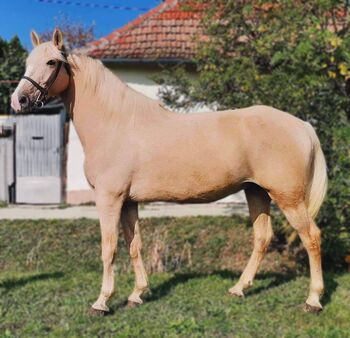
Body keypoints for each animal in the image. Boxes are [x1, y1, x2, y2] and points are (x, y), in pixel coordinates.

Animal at [11, 28, 328, 314]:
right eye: (28, 62)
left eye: (52, 62)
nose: (19, 101)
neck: (116, 124)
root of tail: (302, 126)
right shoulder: (128, 202)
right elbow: (134, 244)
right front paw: (137, 295)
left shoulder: (109, 199)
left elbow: (109, 247)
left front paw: (102, 302)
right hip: (256, 192)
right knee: (262, 237)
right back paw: (239, 288)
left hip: (288, 197)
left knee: (311, 236)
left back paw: (313, 300)